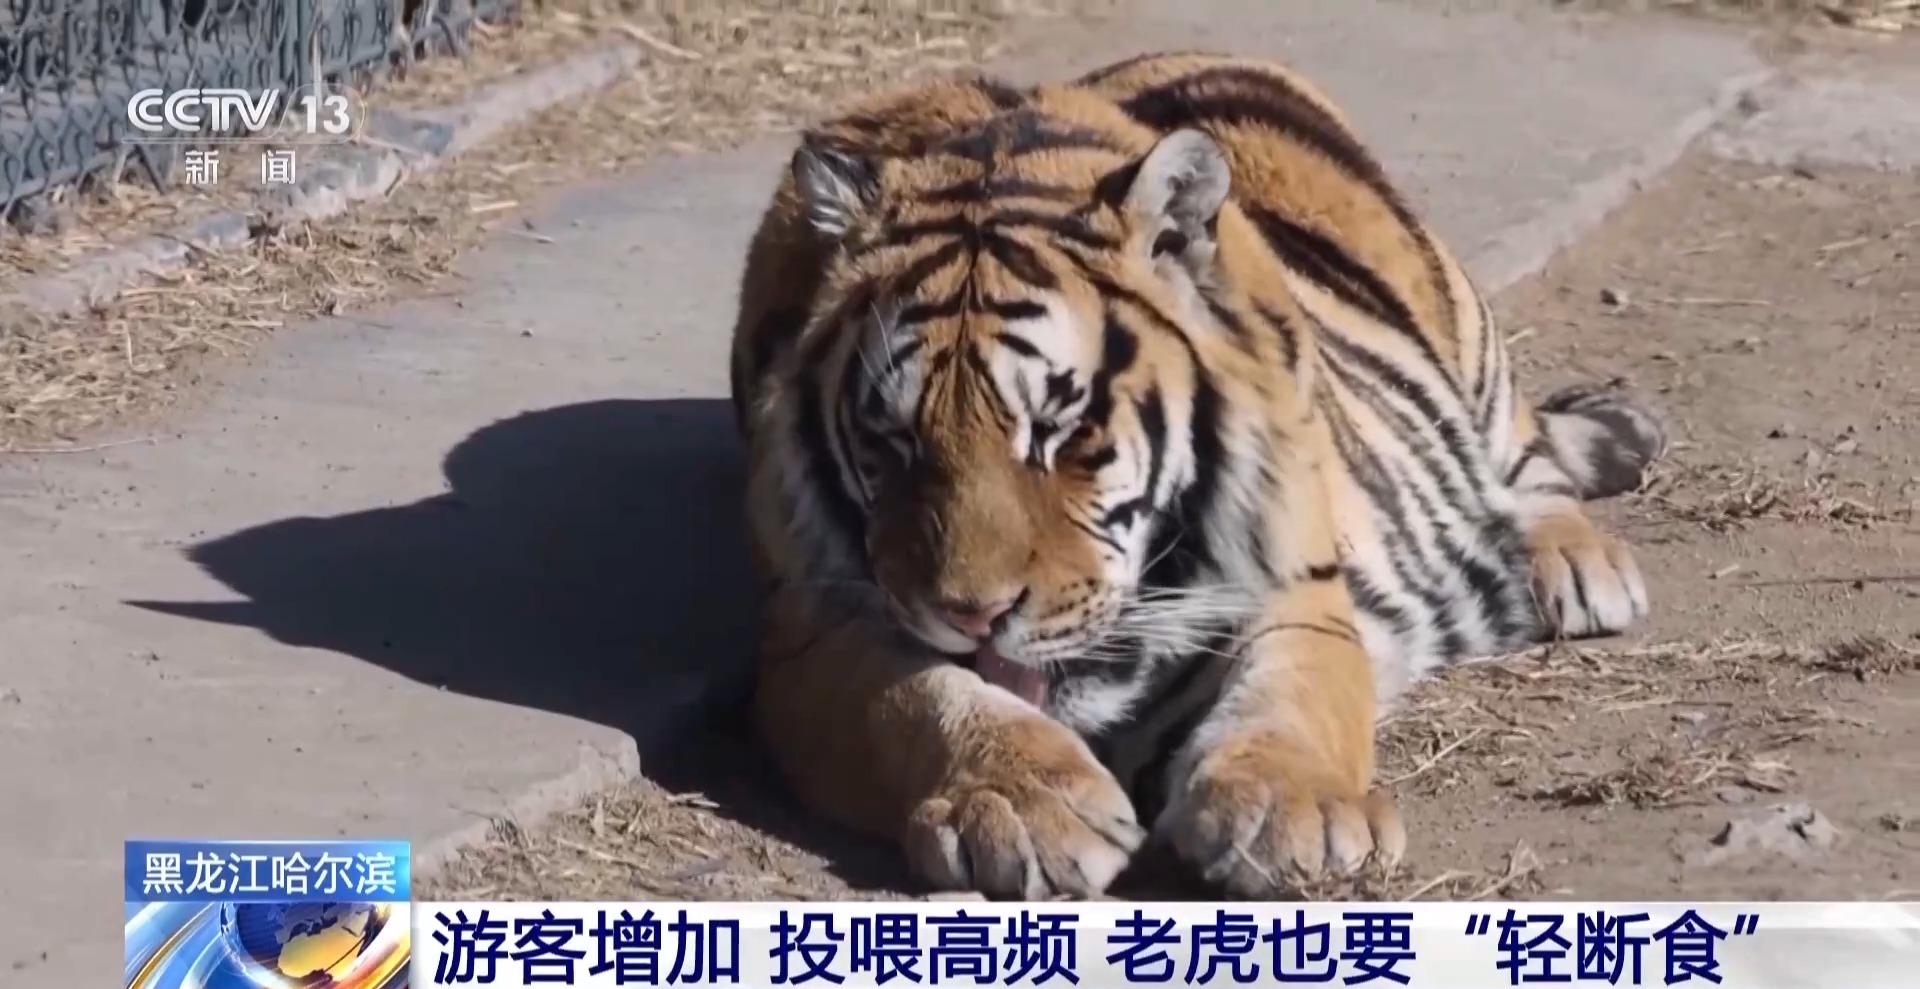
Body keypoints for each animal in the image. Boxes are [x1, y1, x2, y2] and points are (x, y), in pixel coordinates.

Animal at [726, 51, 1665, 899]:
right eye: (891, 440)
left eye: (1063, 429)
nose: (974, 615)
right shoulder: (811, 627)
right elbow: (924, 698)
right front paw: (1024, 802)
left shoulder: (1294, 586)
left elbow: (1290, 697)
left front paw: (1293, 812)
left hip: (1461, 329)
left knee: (1526, 455)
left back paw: (1578, 559)